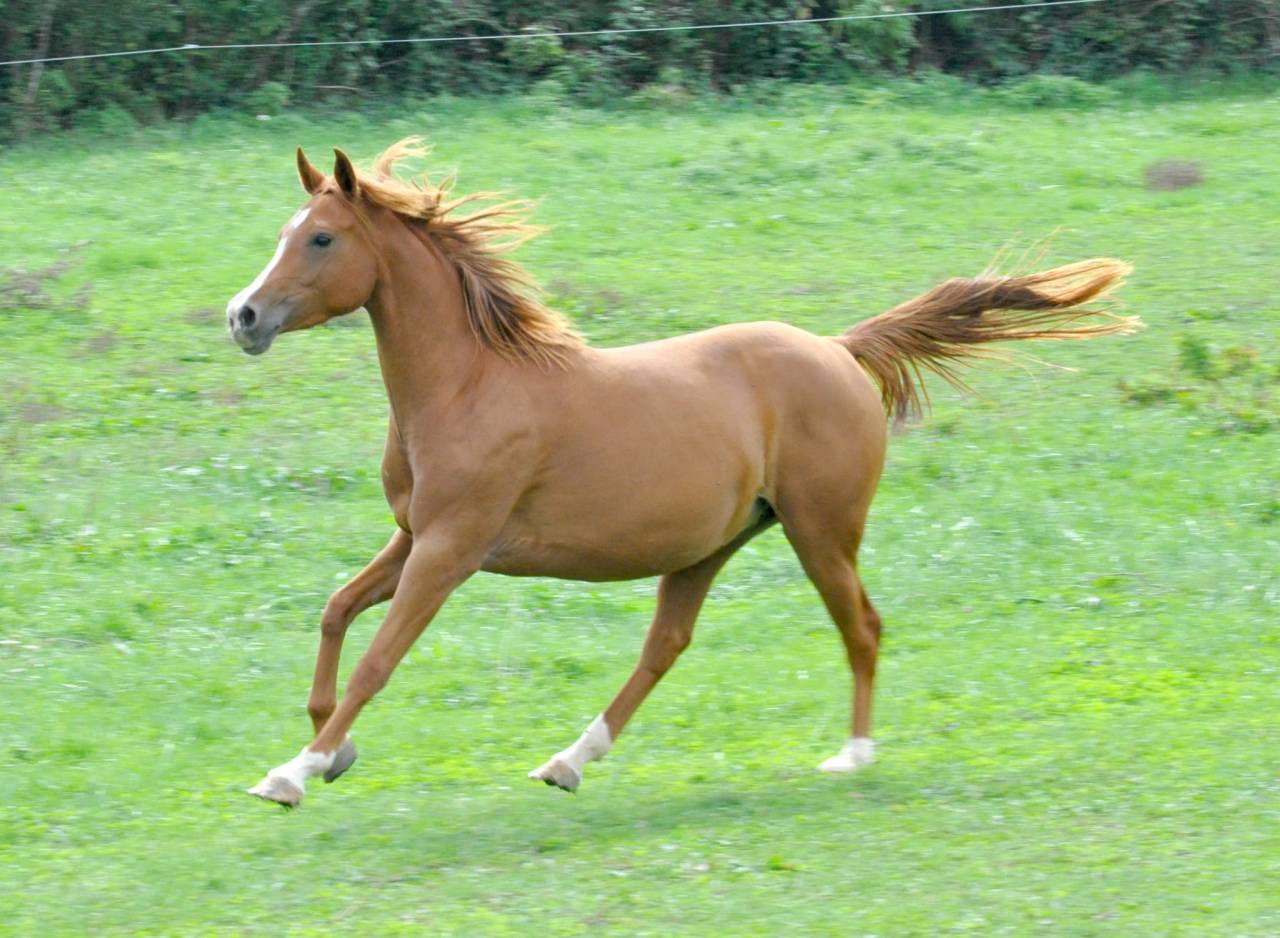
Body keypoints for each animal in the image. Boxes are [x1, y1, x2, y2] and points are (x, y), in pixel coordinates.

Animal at [228, 139, 1137, 807]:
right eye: (282, 231)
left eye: (321, 237)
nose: (244, 315)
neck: (470, 384)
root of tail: (838, 350)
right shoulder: (416, 535)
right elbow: (336, 611)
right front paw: (334, 749)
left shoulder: (452, 549)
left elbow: (379, 658)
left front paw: (291, 773)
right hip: (713, 544)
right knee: (667, 644)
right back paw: (569, 760)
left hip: (821, 530)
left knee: (862, 626)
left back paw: (851, 757)